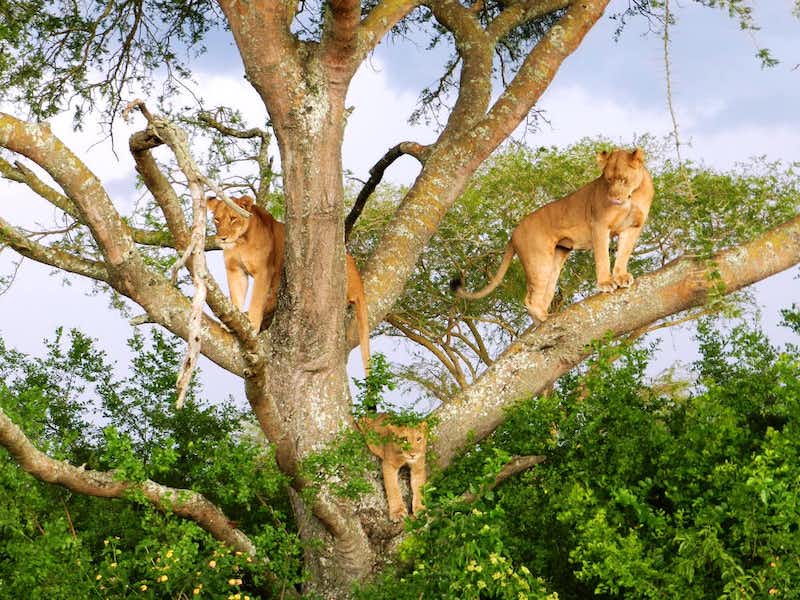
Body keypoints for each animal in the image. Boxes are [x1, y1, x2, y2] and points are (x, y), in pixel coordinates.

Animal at [205, 197, 370, 372]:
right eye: (217, 219)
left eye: (233, 218)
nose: (222, 238)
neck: (240, 242)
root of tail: (358, 278)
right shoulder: (235, 270)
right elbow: (236, 297)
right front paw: (231, 321)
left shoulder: (264, 271)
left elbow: (256, 301)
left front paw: (252, 325)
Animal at [454, 147, 652, 322]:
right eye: (608, 180)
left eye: (623, 180)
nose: (612, 198)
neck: (631, 197)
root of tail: (514, 233)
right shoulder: (599, 224)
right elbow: (603, 257)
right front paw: (605, 283)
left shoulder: (633, 227)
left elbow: (624, 253)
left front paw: (621, 277)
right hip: (539, 259)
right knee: (529, 298)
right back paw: (544, 318)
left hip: (556, 258)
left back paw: (544, 317)